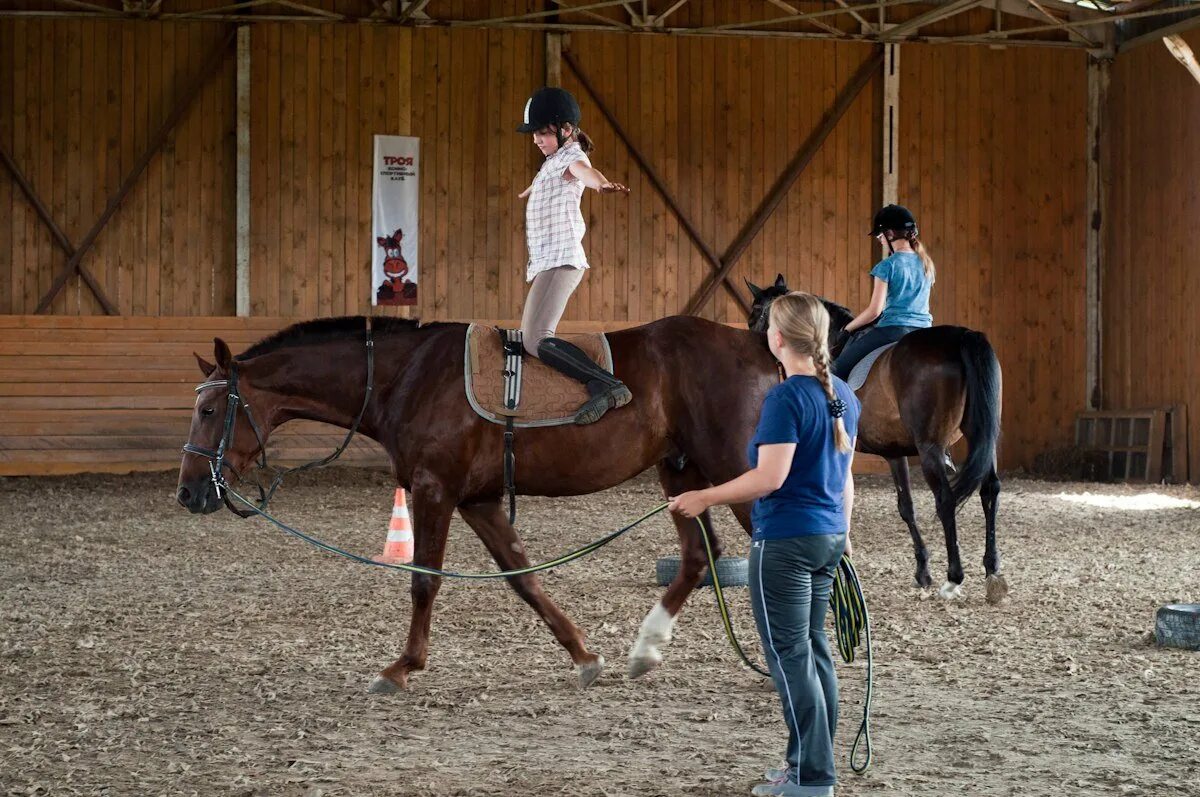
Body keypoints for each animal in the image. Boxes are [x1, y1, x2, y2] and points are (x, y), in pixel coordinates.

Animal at [177, 316, 777, 691]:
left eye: (208, 410)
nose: (189, 491)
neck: (403, 377)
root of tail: (754, 345)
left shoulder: (434, 490)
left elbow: (424, 580)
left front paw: (402, 667)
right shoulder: (479, 501)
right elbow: (524, 578)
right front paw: (584, 657)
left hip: (737, 471)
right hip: (680, 472)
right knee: (699, 557)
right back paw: (647, 649)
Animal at [744, 276, 1008, 604]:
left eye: (756, 310)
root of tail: (962, 336)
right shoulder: (894, 452)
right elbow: (906, 507)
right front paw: (922, 571)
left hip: (930, 447)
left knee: (946, 499)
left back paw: (954, 578)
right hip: (981, 437)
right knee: (990, 490)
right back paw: (992, 570)